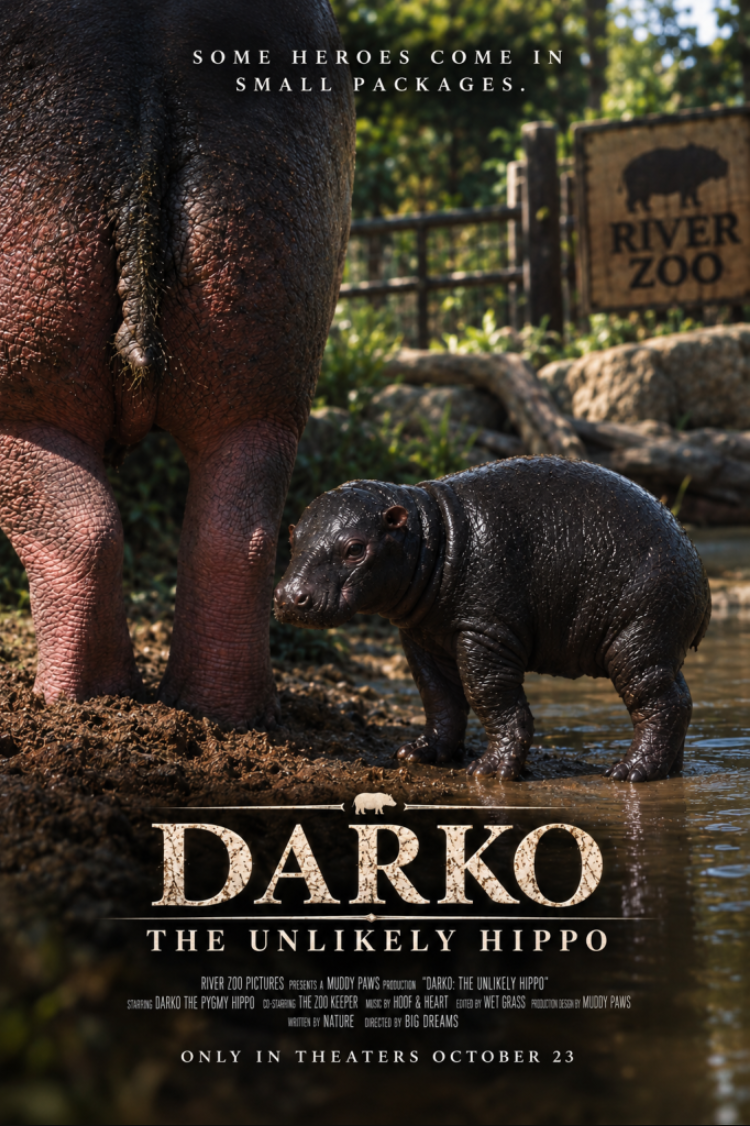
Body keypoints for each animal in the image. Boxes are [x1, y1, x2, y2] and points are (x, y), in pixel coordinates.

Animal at [0, 1, 355, 725]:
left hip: (18, 388)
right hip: (265, 379)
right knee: (232, 539)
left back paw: (75, 709)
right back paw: (221, 718)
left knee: (76, 531)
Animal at [275, 458, 711, 782]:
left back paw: (627, 772)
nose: (286, 596)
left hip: (638, 638)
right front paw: (419, 753)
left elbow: (490, 697)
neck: (431, 538)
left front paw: (489, 771)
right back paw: (666, 770)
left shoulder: (483, 633)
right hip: (658, 645)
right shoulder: (421, 638)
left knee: (660, 703)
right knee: (681, 697)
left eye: (354, 548)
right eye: (292, 537)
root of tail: (697, 563)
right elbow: (439, 697)